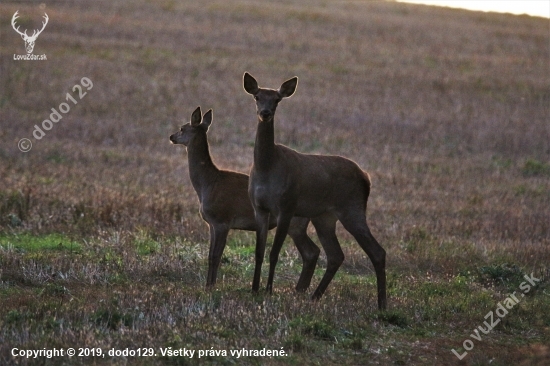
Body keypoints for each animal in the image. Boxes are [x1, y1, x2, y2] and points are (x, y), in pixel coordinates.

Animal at [170, 106, 322, 292]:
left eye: (182, 128)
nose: (171, 137)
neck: (208, 184)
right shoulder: (212, 224)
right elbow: (210, 255)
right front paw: (208, 285)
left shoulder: (222, 220)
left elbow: (216, 256)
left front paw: (211, 286)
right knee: (312, 252)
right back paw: (300, 290)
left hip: (295, 223)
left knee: (311, 252)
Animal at [244, 73, 390, 310]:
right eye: (257, 96)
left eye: (277, 99)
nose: (265, 113)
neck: (267, 167)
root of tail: (366, 178)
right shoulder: (259, 207)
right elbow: (259, 252)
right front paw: (254, 289)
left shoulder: (287, 205)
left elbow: (274, 252)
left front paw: (268, 291)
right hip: (324, 217)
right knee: (336, 254)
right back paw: (315, 296)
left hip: (352, 208)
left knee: (377, 251)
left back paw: (382, 304)